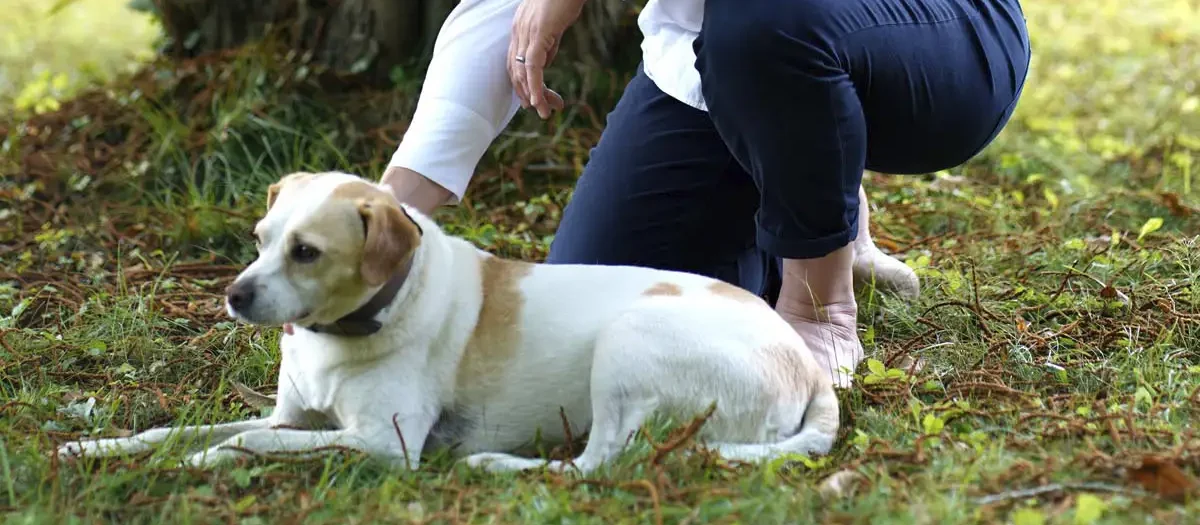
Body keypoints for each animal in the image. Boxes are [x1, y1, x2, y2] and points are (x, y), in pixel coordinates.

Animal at [58, 170, 844, 474]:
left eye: (306, 251)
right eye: (259, 237)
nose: (233, 296)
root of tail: (804, 365)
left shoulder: (383, 443)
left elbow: (248, 439)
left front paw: (208, 460)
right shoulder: (294, 418)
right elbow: (173, 429)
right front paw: (96, 446)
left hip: (630, 342)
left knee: (598, 463)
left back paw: (499, 465)